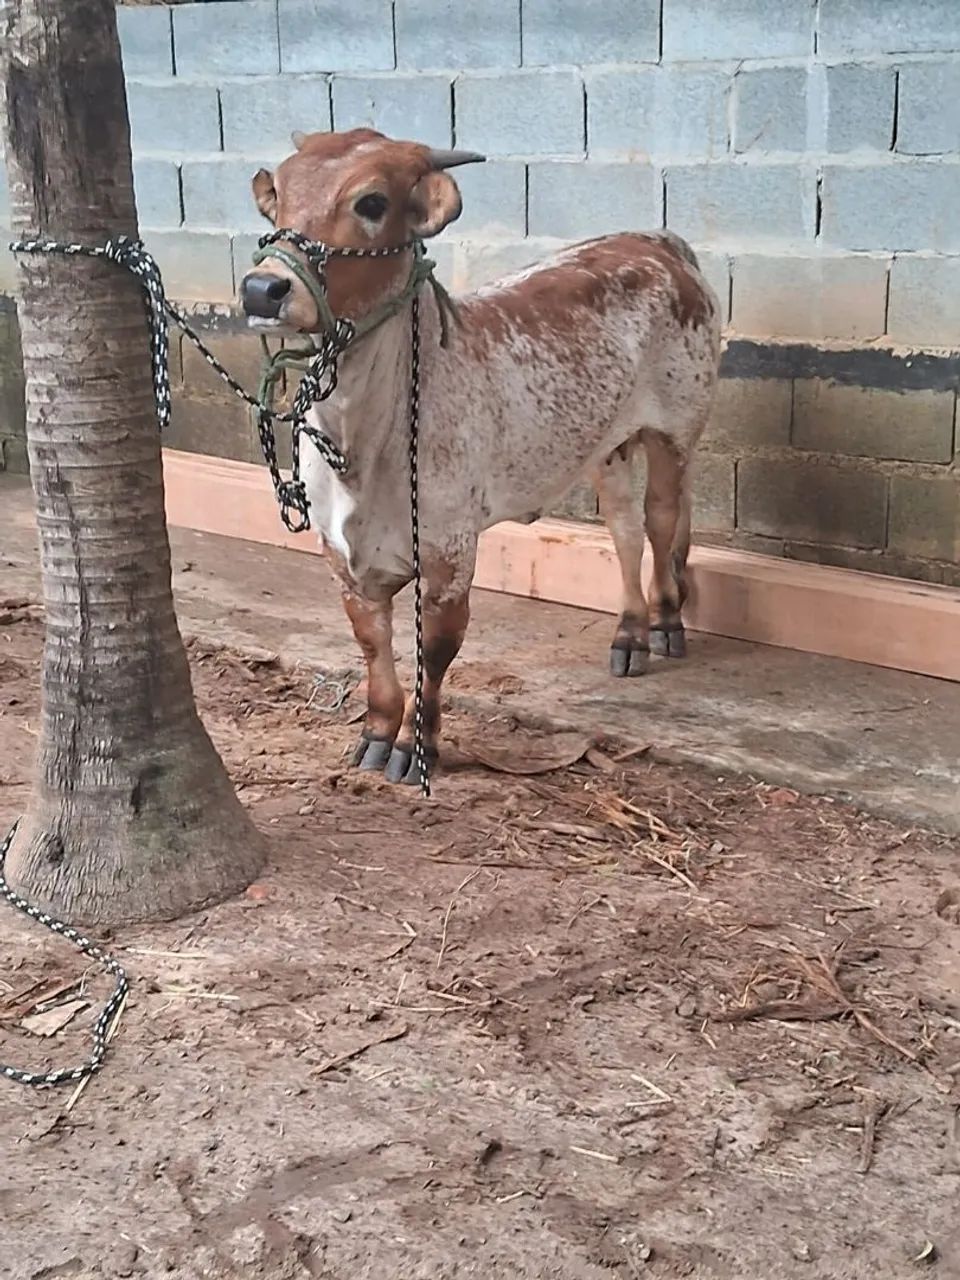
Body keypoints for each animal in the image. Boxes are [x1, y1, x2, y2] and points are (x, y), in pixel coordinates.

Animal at [239, 128, 721, 785]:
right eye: (280, 200)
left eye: (371, 202)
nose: (262, 289)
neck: (364, 445)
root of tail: (656, 241)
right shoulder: (342, 557)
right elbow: (373, 647)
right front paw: (376, 734)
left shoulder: (449, 557)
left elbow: (435, 654)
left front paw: (415, 748)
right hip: (606, 446)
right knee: (624, 530)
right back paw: (629, 634)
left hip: (676, 427)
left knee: (661, 521)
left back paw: (667, 621)